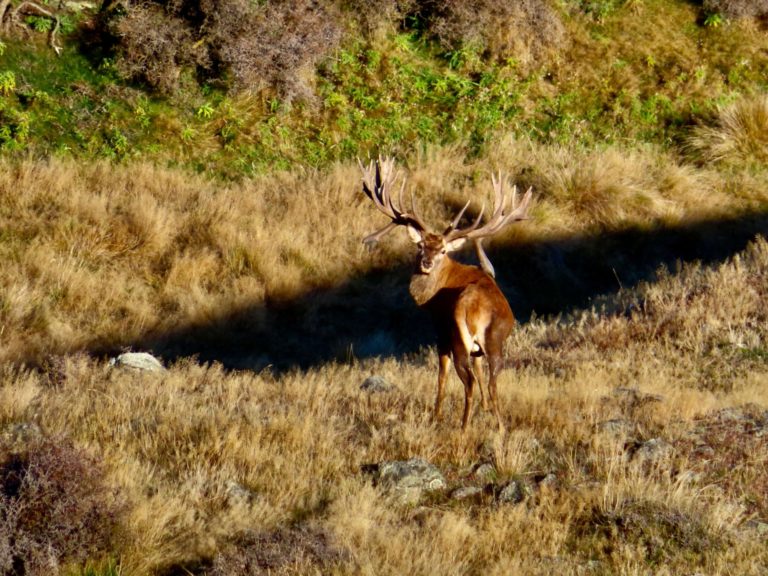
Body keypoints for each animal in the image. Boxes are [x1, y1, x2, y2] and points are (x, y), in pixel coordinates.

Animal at [360, 157, 532, 432]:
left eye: (442, 250)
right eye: (421, 245)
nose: (427, 263)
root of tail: (473, 308)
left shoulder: (439, 329)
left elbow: (441, 375)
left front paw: (436, 414)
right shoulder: (476, 349)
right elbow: (480, 370)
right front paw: (484, 409)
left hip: (456, 336)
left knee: (467, 379)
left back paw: (463, 427)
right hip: (493, 340)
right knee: (492, 380)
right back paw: (499, 425)